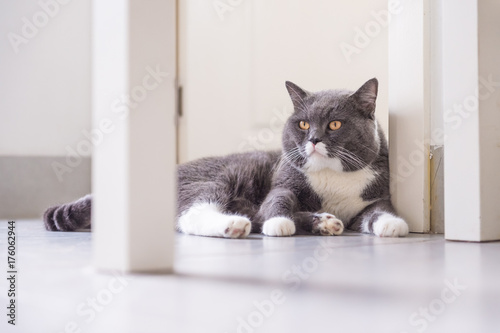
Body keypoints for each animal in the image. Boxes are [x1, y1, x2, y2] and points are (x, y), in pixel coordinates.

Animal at [43, 78, 408, 237]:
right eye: (303, 124)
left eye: (334, 124)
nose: (314, 140)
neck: (333, 178)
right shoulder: (282, 182)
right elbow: (276, 203)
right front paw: (279, 224)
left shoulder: (375, 194)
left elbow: (378, 211)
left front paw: (392, 225)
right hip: (214, 178)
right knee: (191, 215)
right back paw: (234, 225)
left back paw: (325, 222)